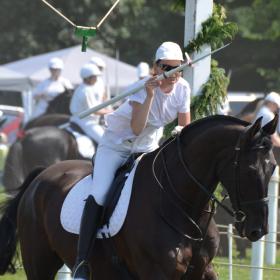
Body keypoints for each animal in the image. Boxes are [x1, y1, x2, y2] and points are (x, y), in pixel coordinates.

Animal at [0, 115, 276, 278]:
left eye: (273, 167)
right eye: (250, 169)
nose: (258, 229)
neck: (183, 207)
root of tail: (41, 175)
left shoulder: (202, 270)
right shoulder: (157, 273)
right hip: (40, 262)